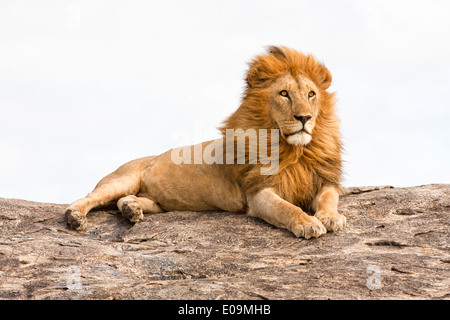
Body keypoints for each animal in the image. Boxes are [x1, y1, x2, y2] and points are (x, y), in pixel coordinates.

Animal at [65, 46, 346, 239]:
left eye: (311, 94)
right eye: (284, 94)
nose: (304, 117)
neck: (295, 151)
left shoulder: (322, 180)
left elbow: (329, 198)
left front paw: (331, 217)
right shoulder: (258, 192)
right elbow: (286, 208)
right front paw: (308, 223)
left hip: (157, 203)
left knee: (128, 199)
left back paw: (131, 210)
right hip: (121, 179)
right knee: (89, 197)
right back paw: (74, 217)